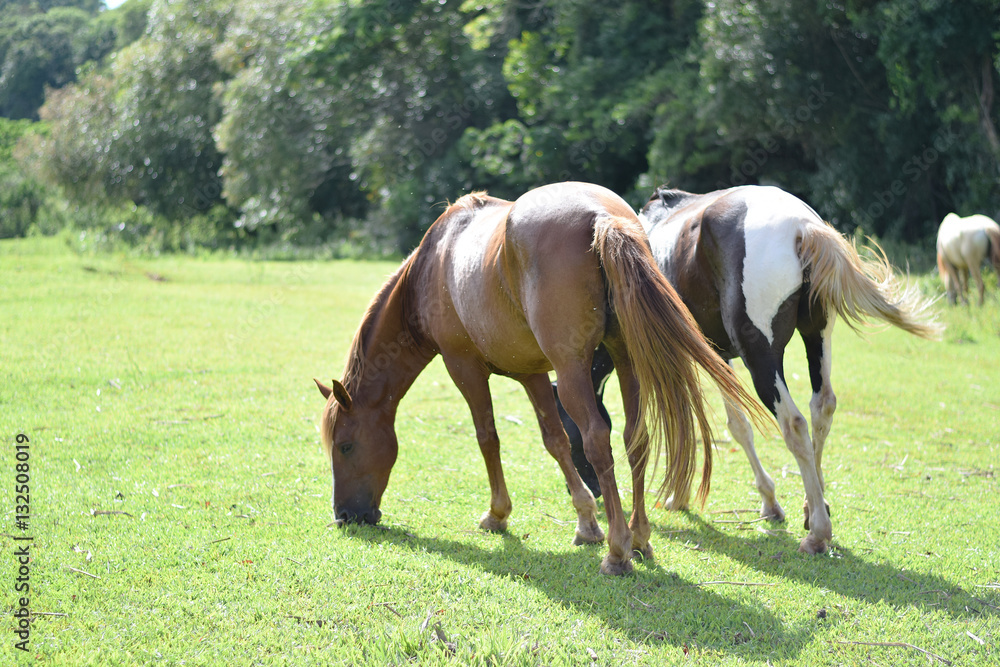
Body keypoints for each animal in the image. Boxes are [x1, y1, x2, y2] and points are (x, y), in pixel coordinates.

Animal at [314, 181, 766, 575]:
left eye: (346, 446)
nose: (345, 515)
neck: (433, 265)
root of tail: (602, 217)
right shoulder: (531, 374)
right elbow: (556, 442)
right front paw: (586, 522)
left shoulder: (464, 368)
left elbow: (488, 437)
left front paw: (498, 513)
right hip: (626, 362)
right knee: (635, 437)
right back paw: (639, 538)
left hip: (571, 374)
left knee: (598, 441)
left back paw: (618, 552)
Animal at [555, 184, 942, 554]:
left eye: (571, 430)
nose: (595, 490)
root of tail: (801, 226)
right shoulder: (718, 355)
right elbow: (734, 424)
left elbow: (717, 424)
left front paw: (687, 495)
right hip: (816, 336)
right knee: (823, 407)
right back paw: (814, 504)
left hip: (762, 358)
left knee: (794, 423)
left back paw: (818, 532)